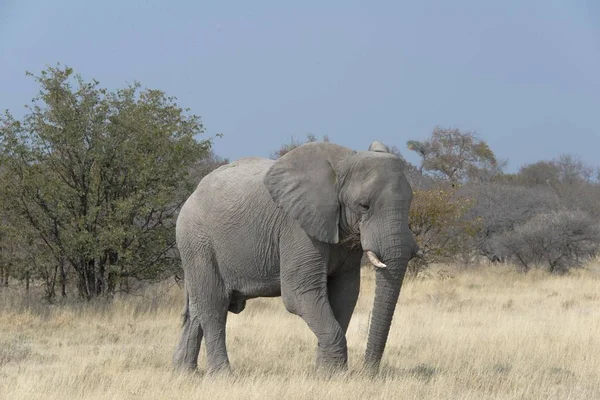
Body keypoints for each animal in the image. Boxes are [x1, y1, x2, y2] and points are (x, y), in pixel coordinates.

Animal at [172, 141, 418, 376]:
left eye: (409, 203)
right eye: (364, 206)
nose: (369, 372)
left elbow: (345, 294)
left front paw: (324, 372)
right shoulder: (296, 227)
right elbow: (300, 293)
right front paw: (334, 375)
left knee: (197, 308)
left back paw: (184, 372)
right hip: (198, 241)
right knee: (214, 305)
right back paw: (222, 375)